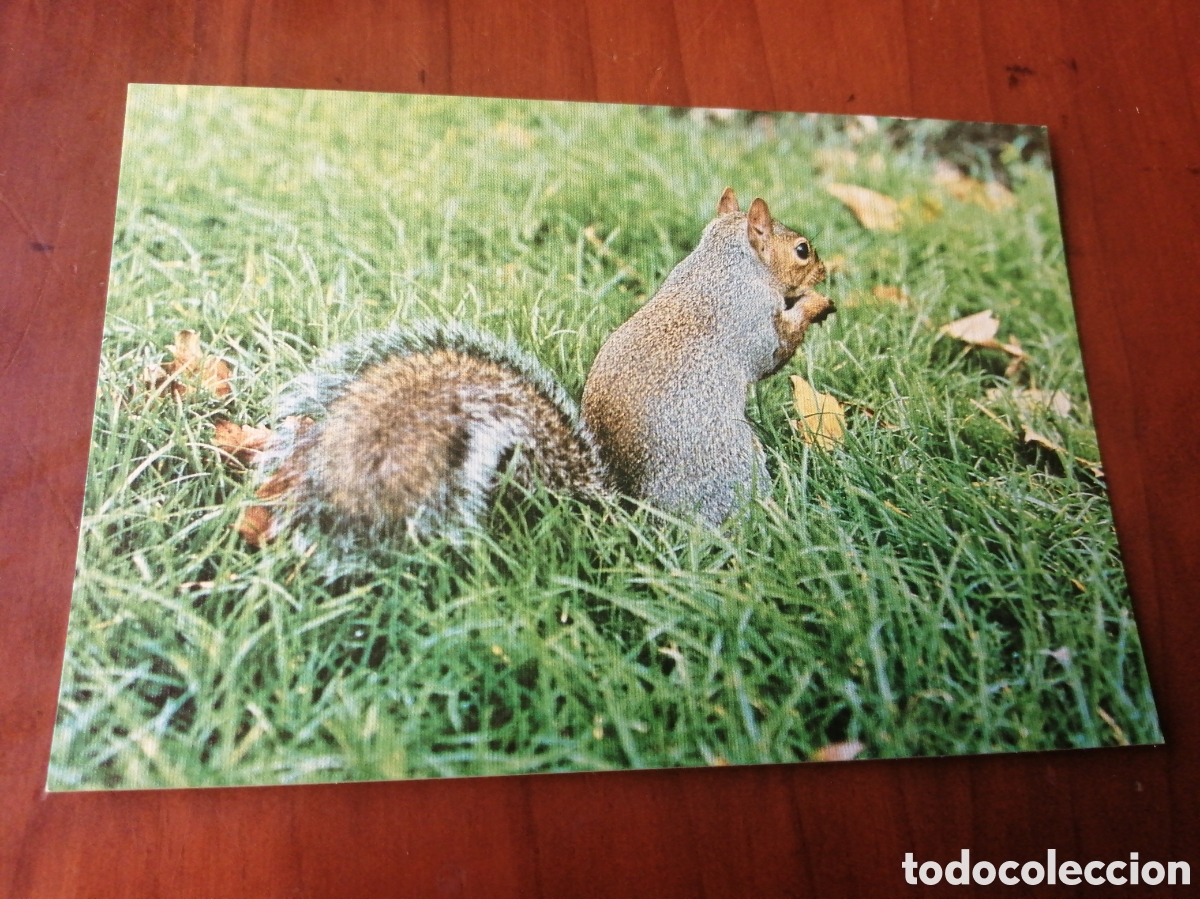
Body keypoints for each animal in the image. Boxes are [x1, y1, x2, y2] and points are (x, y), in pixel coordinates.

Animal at [252, 188, 832, 552]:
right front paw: (813, 306)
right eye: (802, 249)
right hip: (737, 465)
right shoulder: (750, 324)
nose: (826, 269)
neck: (721, 265)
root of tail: (630, 506)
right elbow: (774, 353)